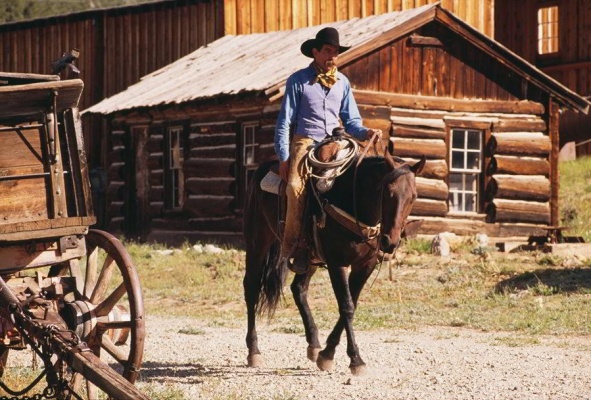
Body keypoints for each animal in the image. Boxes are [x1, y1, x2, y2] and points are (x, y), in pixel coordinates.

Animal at [243, 150, 424, 376]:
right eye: (387, 191)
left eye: (413, 197)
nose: (390, 242)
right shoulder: (338, 263)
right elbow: (346, 306)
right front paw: (355, 360)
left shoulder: (365, 265)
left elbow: (352, 304)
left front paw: (327, 353)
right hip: (257, 240)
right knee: (251, 287)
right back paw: (254, 351)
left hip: (308, 257)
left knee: (298, 288)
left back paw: (313, 344)